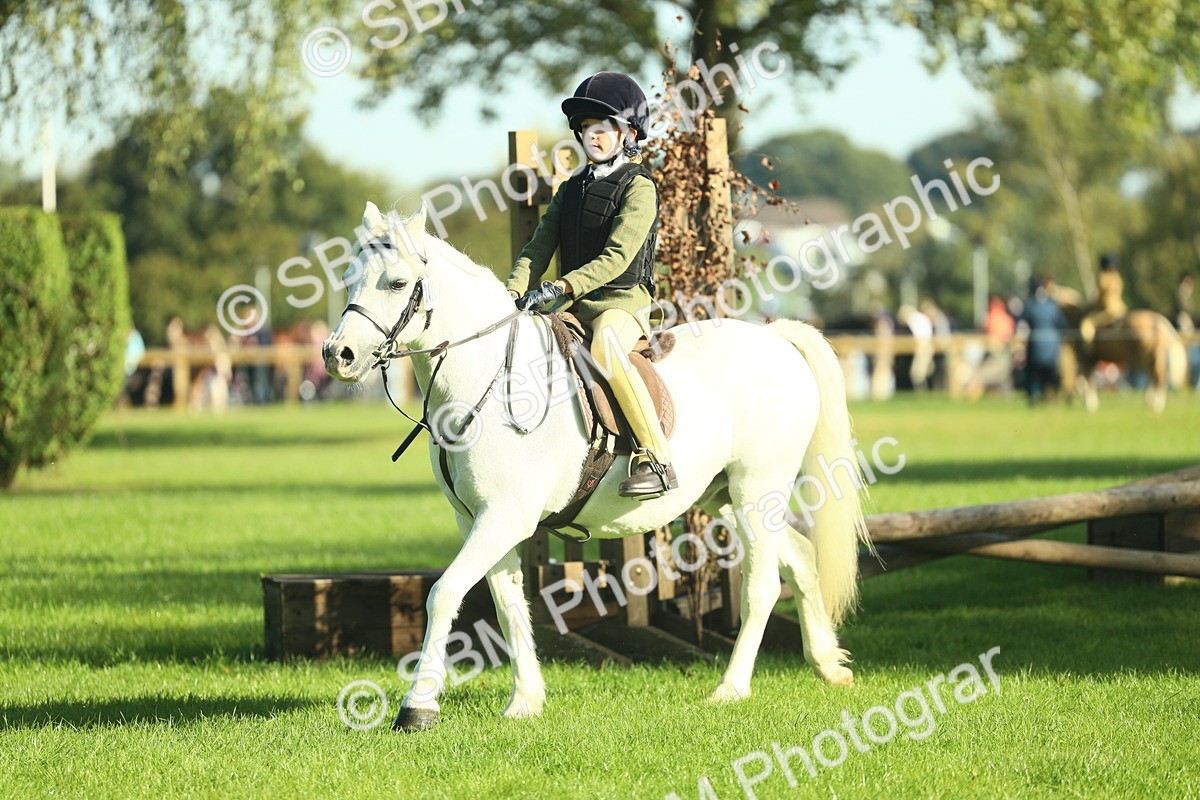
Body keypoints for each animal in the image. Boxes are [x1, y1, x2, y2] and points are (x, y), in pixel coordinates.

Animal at [322, 202, 870, 732]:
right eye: (349, 278)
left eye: (396, 283)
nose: (337, 355)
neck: (487, 377)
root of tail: (775, 341)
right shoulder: (478, 519)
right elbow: (507, 604)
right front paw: (525, 701)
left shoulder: (505, 517)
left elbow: (445, 593)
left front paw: (418, 707)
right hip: (725, 498)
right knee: (799, 558)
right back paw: (828, 664)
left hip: (757, 490)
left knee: (762, 586)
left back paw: (731, 688)